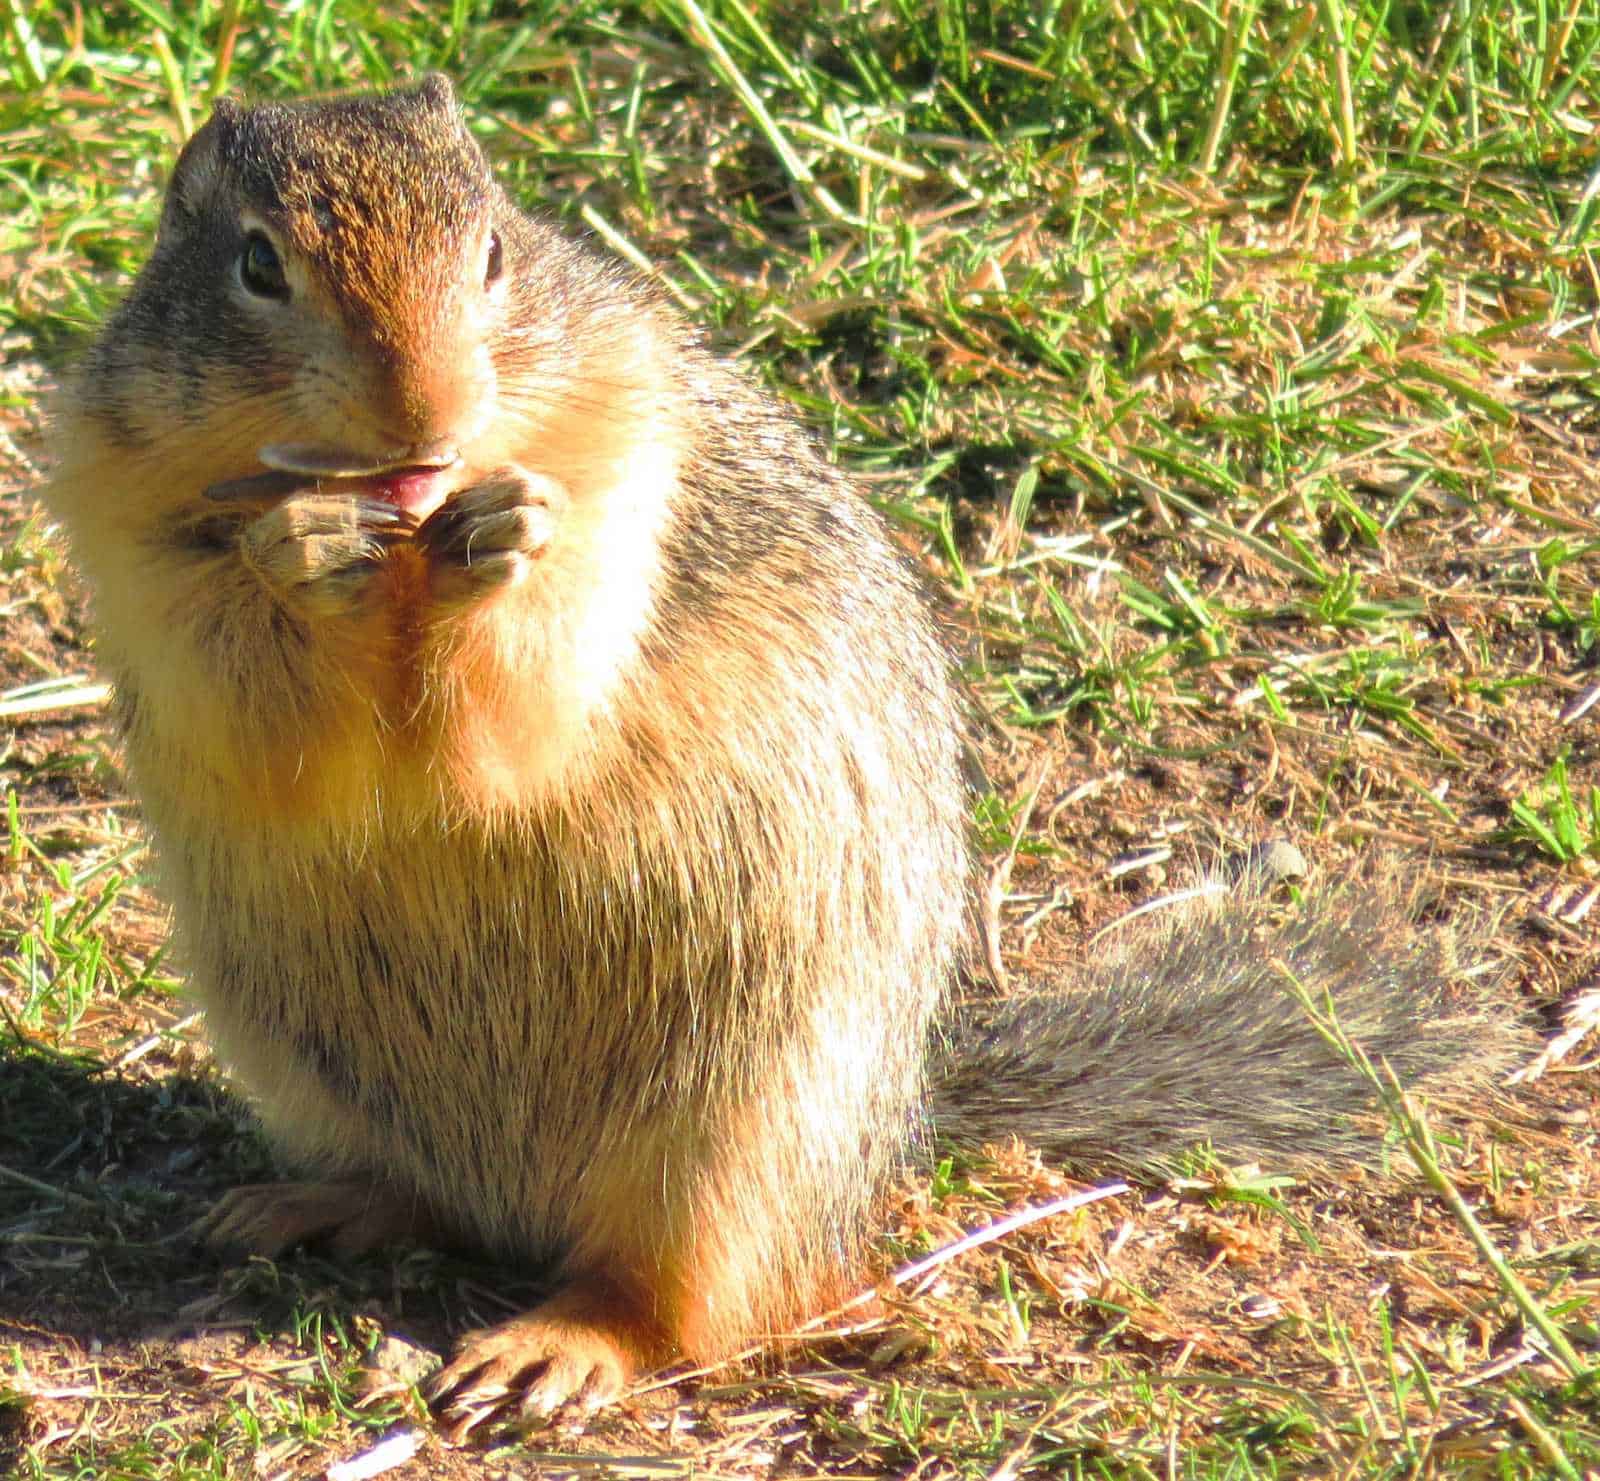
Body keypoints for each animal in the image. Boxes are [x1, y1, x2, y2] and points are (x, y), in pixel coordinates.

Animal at [43, 77, 1521, 1436]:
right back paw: (301, 1202)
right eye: (255, 265)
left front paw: (503, 537)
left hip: (739, 1127)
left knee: (687, 1307)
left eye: (495, 252)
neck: (402, 550)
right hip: (301, 1054)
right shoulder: (132, 526)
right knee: (431, 1195)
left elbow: (525, 705)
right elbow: (256, 699)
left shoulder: (623, 472)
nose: (428, 412)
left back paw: (551, 1348)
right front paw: (301, 550)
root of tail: (903, 1117)